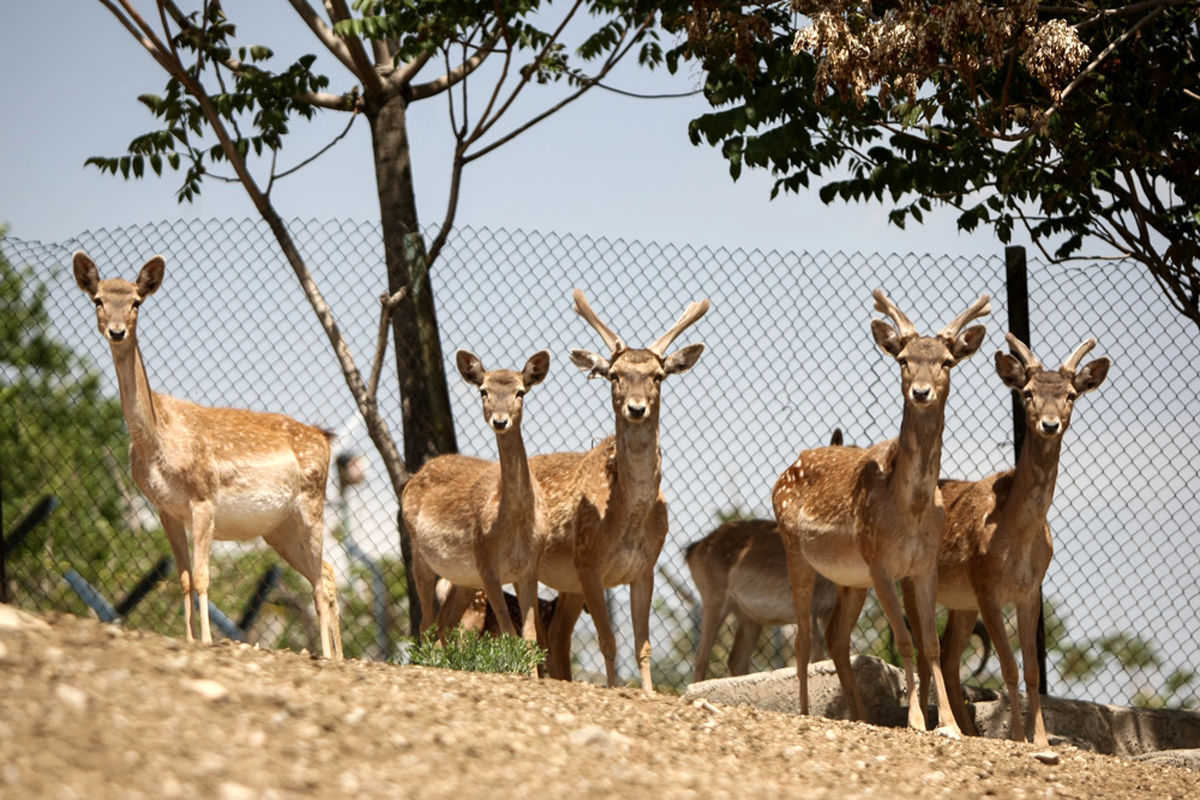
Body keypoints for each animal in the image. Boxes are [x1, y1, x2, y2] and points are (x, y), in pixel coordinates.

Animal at [72, 253, 340, 662]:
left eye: (136, 301)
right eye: (98, 299)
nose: (116, 332)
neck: (157, 439)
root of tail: (325, 438)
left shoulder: (203, 497)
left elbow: (201, 576)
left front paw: (208, 641)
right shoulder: (166, 508)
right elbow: (182, 577)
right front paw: (186, 638)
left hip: (311, 505)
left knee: (321, 581)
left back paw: (326, 655)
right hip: (278, 528)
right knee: (325, 571)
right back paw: (340, 655)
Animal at [403, 347, 552, 647]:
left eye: (520, 392)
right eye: (483, 390)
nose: (500, 420)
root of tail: (413, 477)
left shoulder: (529, 569)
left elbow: (530, 639)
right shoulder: (486, 565)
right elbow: (509, 633)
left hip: (463, 578)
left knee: (443, 624)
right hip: (420, 554)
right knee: (425, 625)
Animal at [530, 291, 705, 690]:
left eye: (658, 376)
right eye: (614, 375)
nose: (636, 408)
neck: (628, 515)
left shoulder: (644, 568)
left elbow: (643, 645)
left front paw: (648, 692)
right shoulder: (588, 563)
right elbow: (609, 641)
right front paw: (613, 688)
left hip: (567, 585)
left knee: (556, 637)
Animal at [772, 289, 988, 738]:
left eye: (947, 361)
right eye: (903, 359)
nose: (921, 392)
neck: (911, 509)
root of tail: (785, 470)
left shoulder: (923, 564)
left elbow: (931, 644)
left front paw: (950, 726)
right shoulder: (880, 561)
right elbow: (905, 640)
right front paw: (916, 721)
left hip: (850, 577)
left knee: (836, 637)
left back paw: (860, 714)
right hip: (794, 548)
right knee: (803, 637)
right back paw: (804, 712)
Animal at [916, 331, 1113, 743]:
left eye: (1071, 394)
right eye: (1027, 392)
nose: (1050, 424)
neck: (1018, 538)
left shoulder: (1030, 590)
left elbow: (1034, 670)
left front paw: (1041, 738)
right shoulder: (985, 584)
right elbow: (1009, 666)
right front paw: (1020, 738)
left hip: (960, 603)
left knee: (949, 656)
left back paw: (966, 728)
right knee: (927, 650)